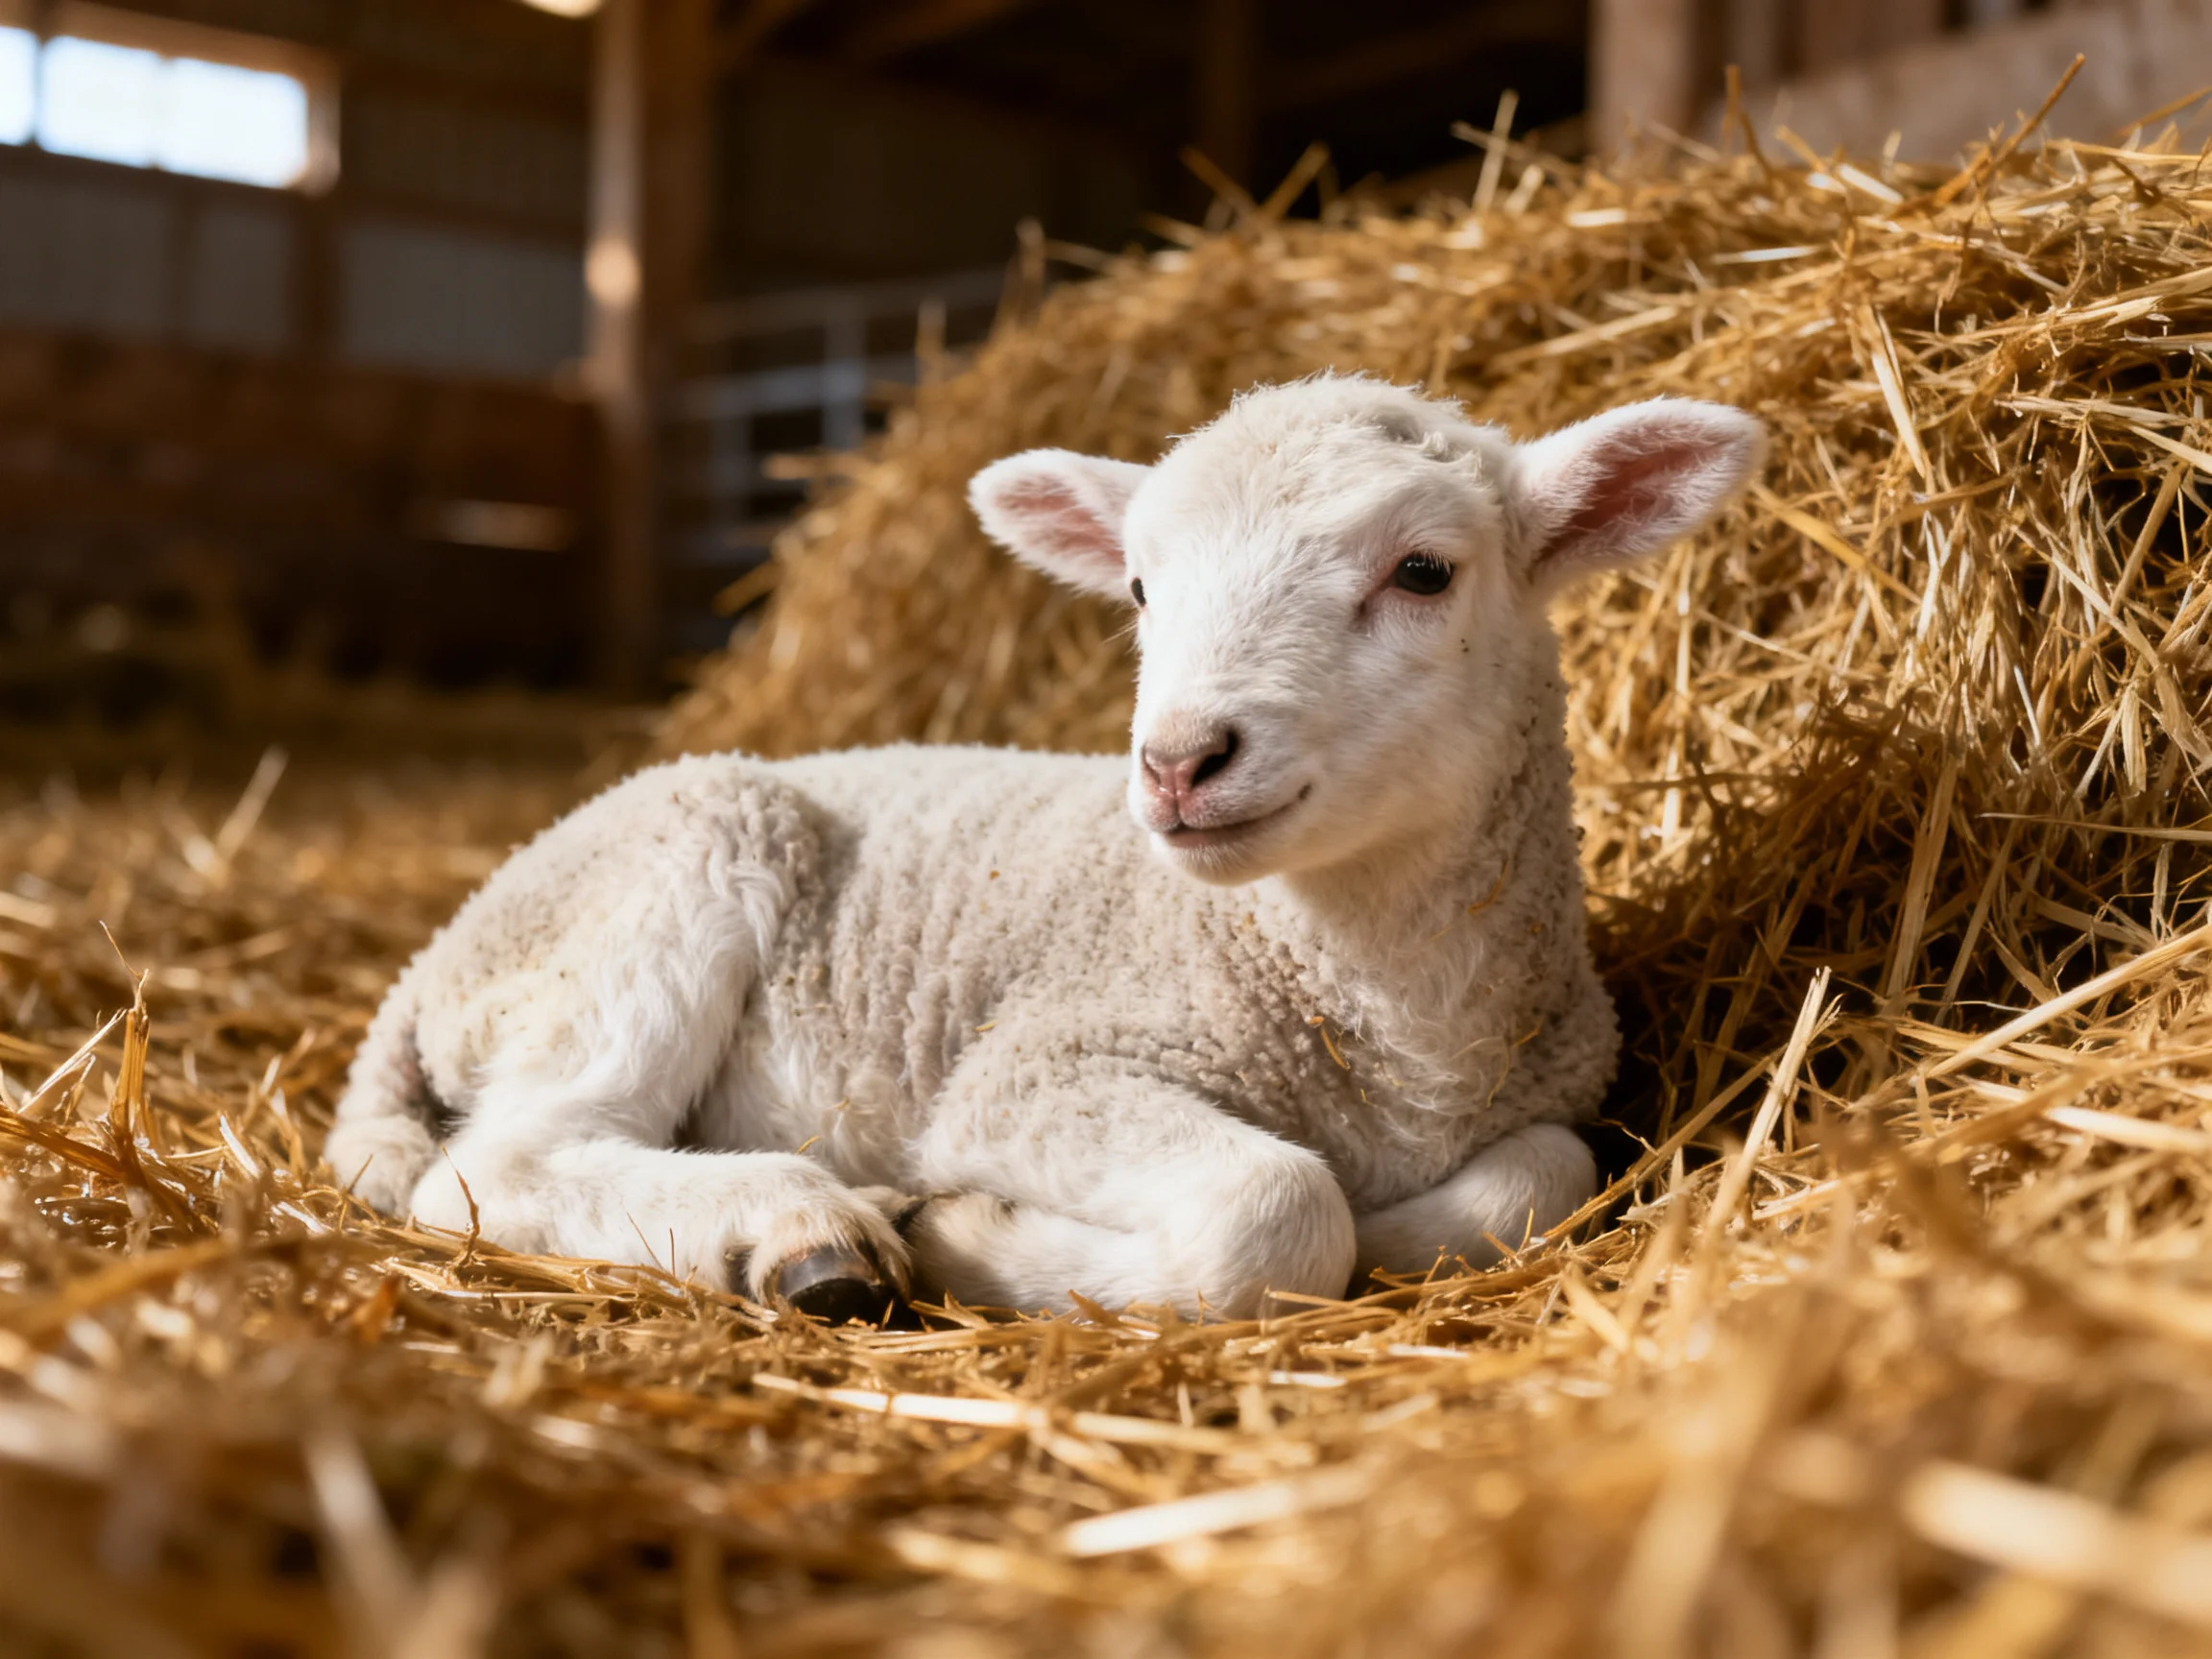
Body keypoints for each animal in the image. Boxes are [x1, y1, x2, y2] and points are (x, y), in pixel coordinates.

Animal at [325, 375, 1763, 1322]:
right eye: (1138, 588)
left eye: (1424, 571)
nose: (1178, 761)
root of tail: (432, 956)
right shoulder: (1038, 1068)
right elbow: (1280, 1210)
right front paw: (970, 1232)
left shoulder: (1554, 1088)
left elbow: (1545, 1175)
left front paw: (1403, 1232)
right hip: (668, 873)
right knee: (500, 1164)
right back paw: (796, 1232)